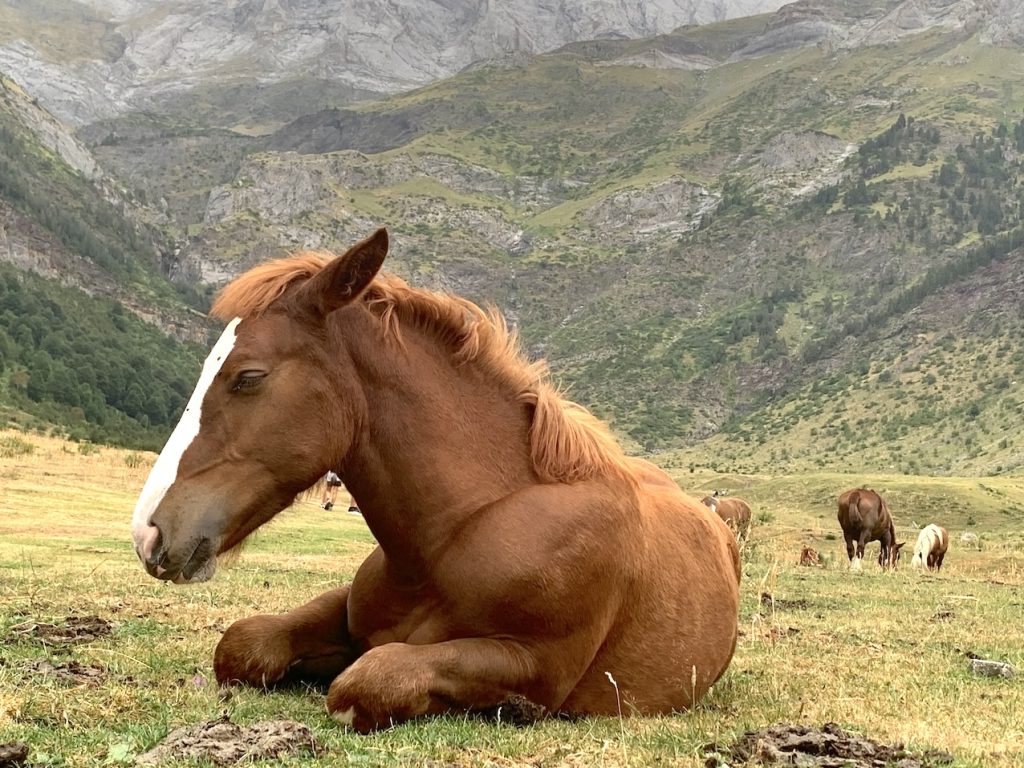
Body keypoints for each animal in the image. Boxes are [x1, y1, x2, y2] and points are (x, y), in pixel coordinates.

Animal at [128, 229, 741, 733]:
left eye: (248, 377)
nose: (148, 533)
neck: (453, 537)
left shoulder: (535, 664)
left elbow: (365, 683)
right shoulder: (347, 609)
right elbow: (241, 645)